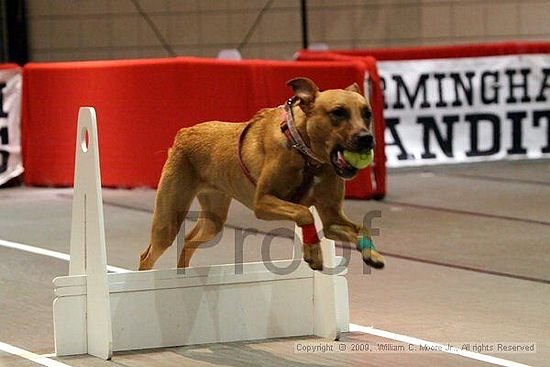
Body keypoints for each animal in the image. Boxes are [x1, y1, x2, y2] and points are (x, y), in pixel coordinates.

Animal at [140, 77, 386, 272]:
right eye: (338, 112)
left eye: (367, 114)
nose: (367, 139)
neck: (306, 153)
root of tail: (183, 133)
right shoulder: (263, 202)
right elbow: (304, 212)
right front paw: (313, 252)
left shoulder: (331, 217)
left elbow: (361, 228)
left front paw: (372, 254)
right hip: (168, 220)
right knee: (147, 256)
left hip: (214, 217)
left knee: (190, 240)